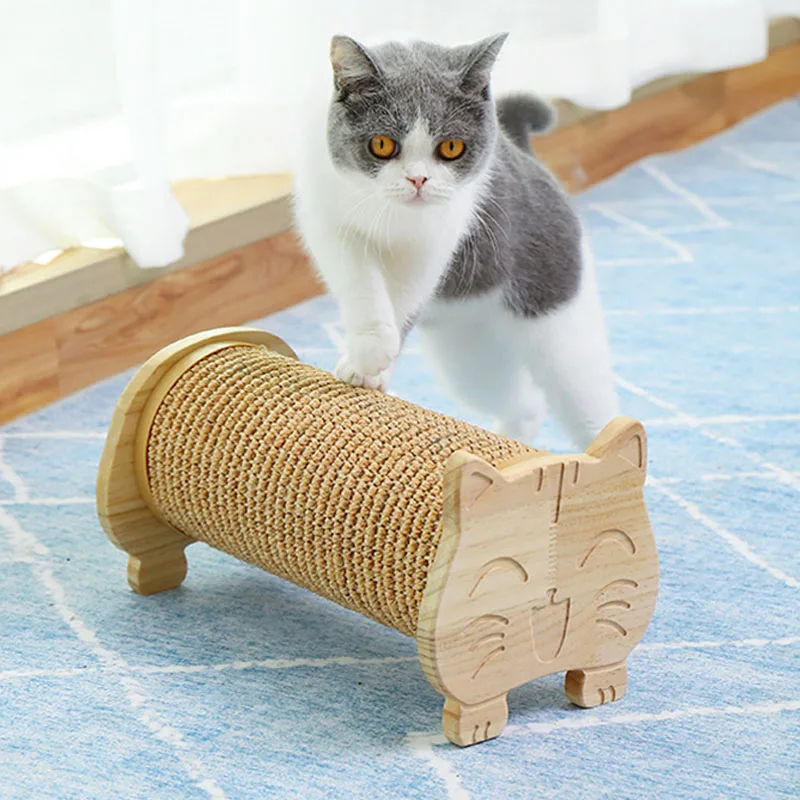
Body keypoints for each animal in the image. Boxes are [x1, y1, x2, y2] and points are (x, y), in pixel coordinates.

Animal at [294, 34, 620, 446]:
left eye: (451, 147)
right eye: (382, 144)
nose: (418, 180)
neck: (394, 219)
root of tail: (524, 153)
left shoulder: (434, 244)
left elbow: (402, 298)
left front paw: (371, 366)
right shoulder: (328, 222)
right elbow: (360, 282)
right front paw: (371, 350)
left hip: (560, 334)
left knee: (599, 415)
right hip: (468, 357)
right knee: (524, 402)